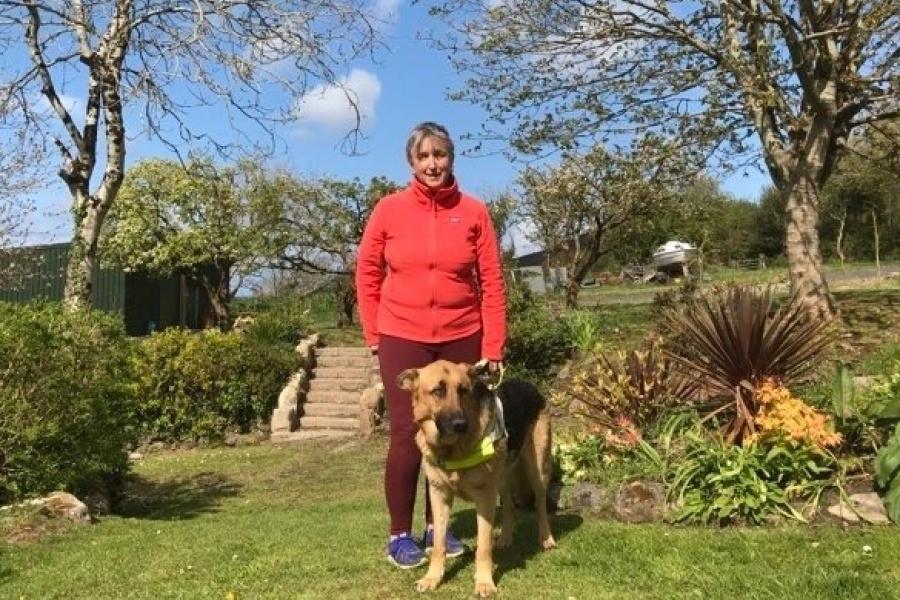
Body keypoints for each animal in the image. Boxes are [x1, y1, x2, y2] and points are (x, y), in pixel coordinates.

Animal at [400, 358, 556, 596]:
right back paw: (505, 538)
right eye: (438, 391)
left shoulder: (484, 499)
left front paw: (484, 583)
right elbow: (438, 544)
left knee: (540, 503)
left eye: (463, 390)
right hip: (502, 478)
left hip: (537, 470)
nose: (460, 425)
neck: (453, 450)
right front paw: (432, 578)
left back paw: (546, 539)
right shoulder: (439, 496)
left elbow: (483, 546)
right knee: (509, 505)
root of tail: (529, 385)